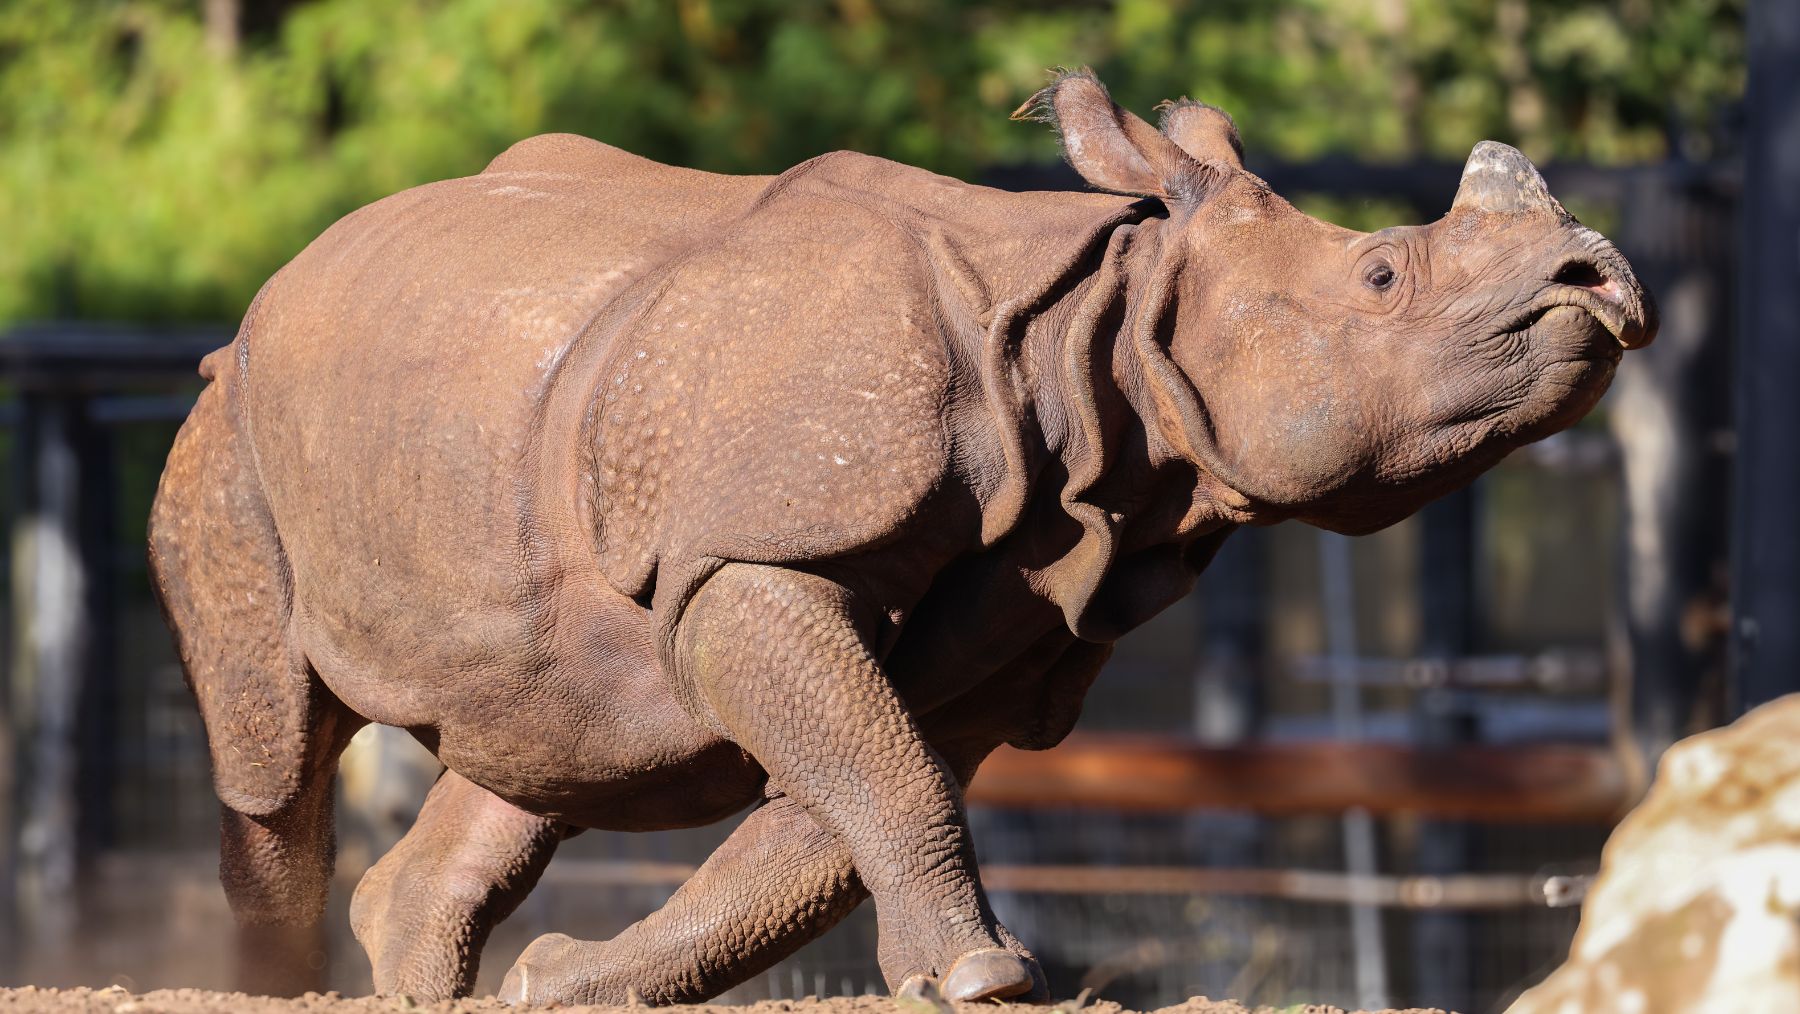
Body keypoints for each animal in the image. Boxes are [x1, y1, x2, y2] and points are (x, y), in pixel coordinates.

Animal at [149, 71, 1655, 1005]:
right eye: (1384, 274)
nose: (1601, 279)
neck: (1104, 337)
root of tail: (284, 278)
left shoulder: (1032, 587)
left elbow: (857, 788)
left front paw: (560, 983)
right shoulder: (761, 551)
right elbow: (885, 772)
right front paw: (991, 980)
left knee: (548, 740)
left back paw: (421, 975)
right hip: (228, 424)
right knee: (270, 747)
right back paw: (258, 984)